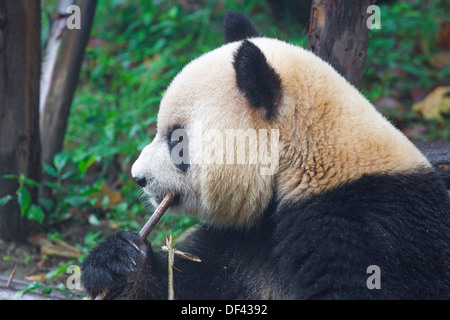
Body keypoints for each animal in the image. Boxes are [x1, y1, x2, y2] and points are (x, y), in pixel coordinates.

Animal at [81, 10, 450, 300]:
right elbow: (192, 285)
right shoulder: (244, 240)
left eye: (178, 140)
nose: (138, 177)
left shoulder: (372, 229)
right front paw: (119, 261)